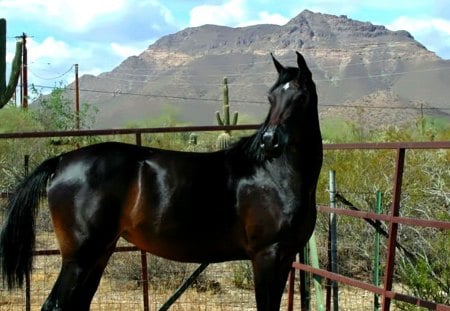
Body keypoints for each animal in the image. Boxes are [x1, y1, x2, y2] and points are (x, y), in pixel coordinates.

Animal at [0, 52, 324, 310]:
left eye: (300, 96)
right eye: (271, 97)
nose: (270, 140)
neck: (273, 175)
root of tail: (61, 161)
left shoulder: (284, 256)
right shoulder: (267, 254)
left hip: (99, 253)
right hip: (80, 256)